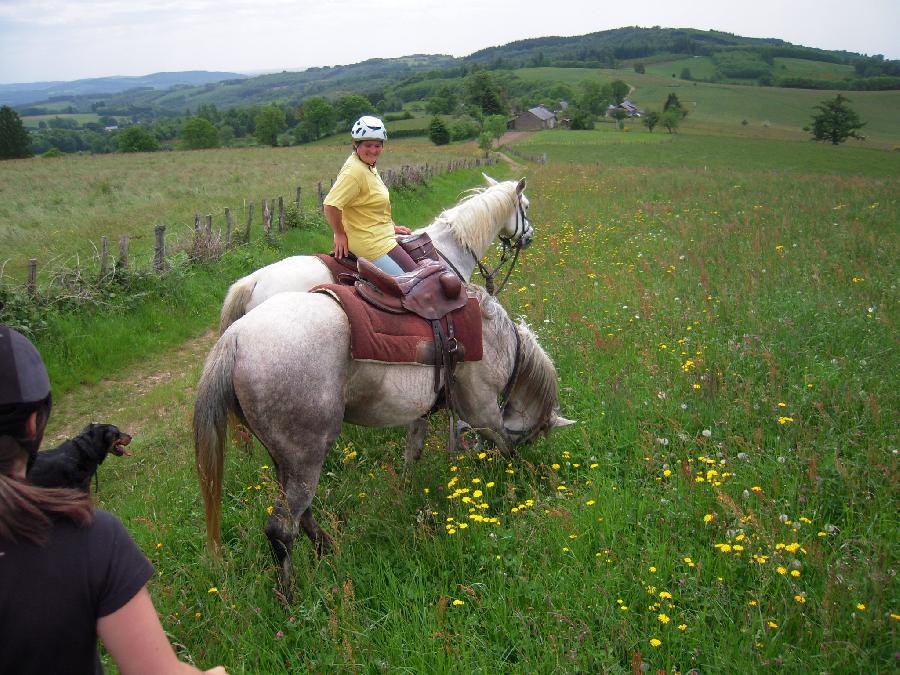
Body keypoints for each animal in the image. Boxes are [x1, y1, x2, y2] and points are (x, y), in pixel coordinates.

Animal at [196, 288, 572, 596]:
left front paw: (404, 491)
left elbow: (413, 450)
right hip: (306, 458)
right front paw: (512, 483)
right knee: (281, 529)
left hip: (285, 460)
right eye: (533, 436)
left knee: (301, 514)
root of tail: (235, 338)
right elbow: (504, 442)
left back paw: (329, 550)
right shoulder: (482, 409)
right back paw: (290, 599)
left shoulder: (424, 412)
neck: (497, 337)